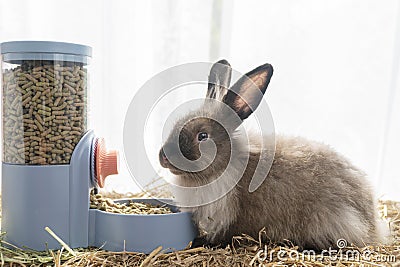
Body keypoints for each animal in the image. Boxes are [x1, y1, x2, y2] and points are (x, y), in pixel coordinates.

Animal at [158, 59, 380, 251]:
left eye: (202, 136)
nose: (163, 158)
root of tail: (373, 225)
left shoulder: (232, 218)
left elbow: (224, 235)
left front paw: (201, 242)